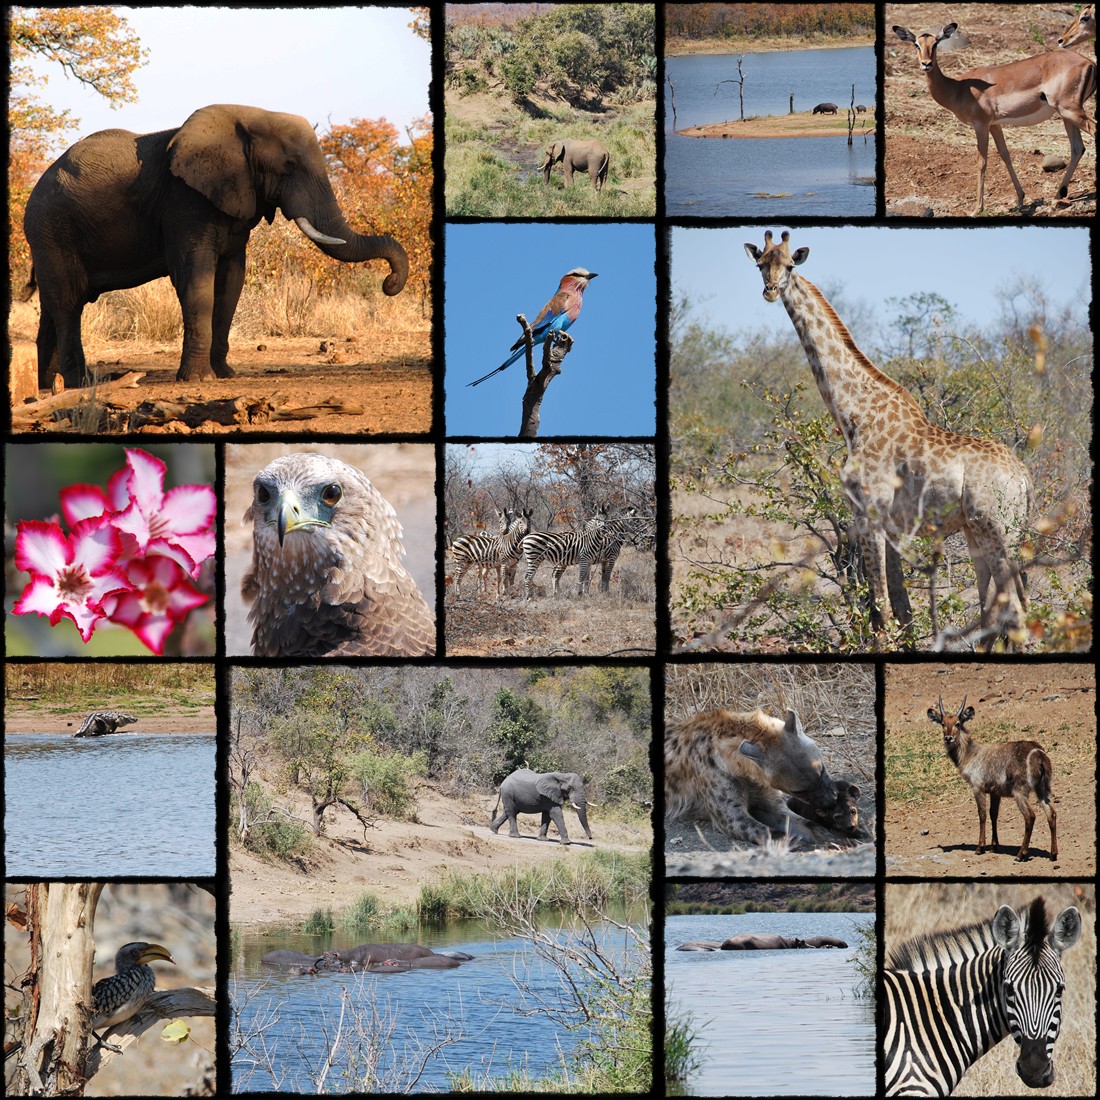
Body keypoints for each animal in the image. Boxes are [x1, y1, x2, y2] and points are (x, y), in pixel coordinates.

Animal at [21, 103, 409, 387]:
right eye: (288, 165)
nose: (389, 283)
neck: (249, 117)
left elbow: (231, 281)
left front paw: (225, 375)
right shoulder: (185, 202)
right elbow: (196, 279)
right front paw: (198, 380)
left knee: (55, 306)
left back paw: (48, 388)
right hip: (51, 231)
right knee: (68, 303)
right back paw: (80, 384)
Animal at [743, 228, 1034, 646]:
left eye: (790, 265)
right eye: (760, 264)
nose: (769, 290)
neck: (855, 414)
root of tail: (1024, 478)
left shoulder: (870, 513)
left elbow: (880, 607)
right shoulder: (891, 525)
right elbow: (902, 608)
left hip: (998, 529)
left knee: (1018, 610)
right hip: (980, 533)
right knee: (996, 610)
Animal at [893, 22, 1091, 212]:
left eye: (935, 44)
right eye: (916, 44)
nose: (926, 64)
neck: (958, 88)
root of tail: (1088, 62)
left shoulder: (981, 125)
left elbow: (982, 162)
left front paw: (977, 209)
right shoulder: (995, 124)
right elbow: (1005, 154)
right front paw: (1020, 199)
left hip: (1071, 112)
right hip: (1066, 116)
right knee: (1077, 148)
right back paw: (1057, 196)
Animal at [928, 695, 1056, 858]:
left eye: (958, 723)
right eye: (943, 723)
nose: (948, 738)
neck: (970, 754)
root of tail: (1038, 753)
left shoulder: (977, 787)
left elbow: (982, 814)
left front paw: (980, 847)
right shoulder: (995, 792)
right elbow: (993, 814)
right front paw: (994, 846)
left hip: (1020, 791)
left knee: (1030, 816)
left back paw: (1021, 854)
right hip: (1042, 788)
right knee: (1052, 813)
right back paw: (1053, 854)